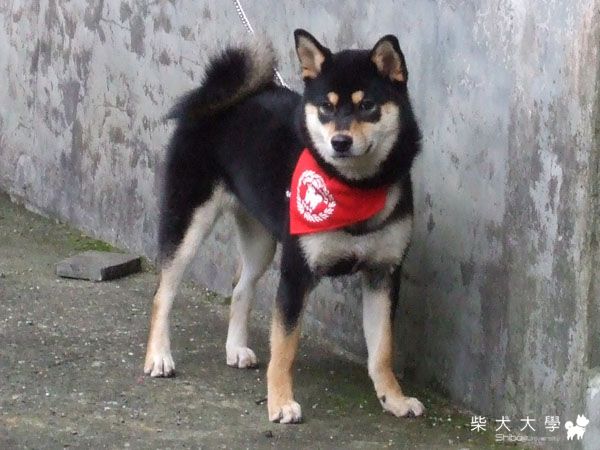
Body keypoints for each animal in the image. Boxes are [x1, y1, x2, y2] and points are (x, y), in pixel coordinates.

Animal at [144, 29, 424, 424]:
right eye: (325, 107)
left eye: (367, 105)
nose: (339, 142)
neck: (354, 187)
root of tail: (215, 97)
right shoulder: (296, 273)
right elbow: (285, 347)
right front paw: (279, 402)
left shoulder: (382, 273)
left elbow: (382, 351)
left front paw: (393, 399)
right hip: (188, 223)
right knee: (163, 292)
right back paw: (158, 356)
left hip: (261, 241)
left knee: (240, 287)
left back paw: (235, 348)